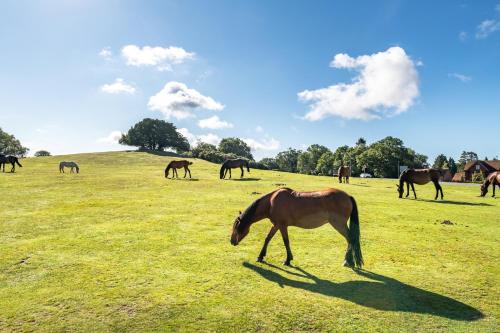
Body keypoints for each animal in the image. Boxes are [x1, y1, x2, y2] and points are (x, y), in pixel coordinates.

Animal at [230, 187, 364, 268]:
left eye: (236, 227)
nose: (231, 241)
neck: (271, 202)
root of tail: (347, 196)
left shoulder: (281, 225)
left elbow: (286, 241)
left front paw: (288, 260)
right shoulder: (276, 225)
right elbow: (268, 238)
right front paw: (260, 256)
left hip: (339, 224)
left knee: (350, 239)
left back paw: (347, 261)